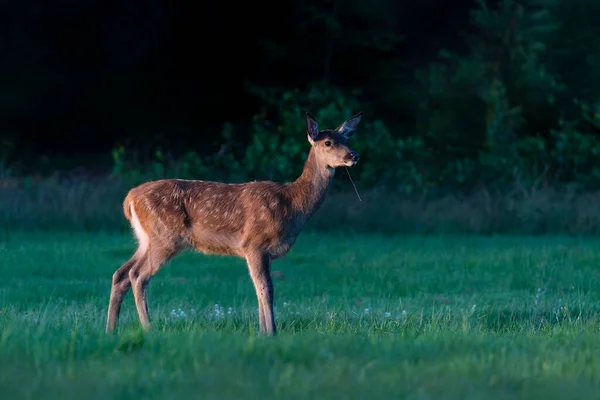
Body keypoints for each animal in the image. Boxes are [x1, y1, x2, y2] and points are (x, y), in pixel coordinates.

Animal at [105, 111, 364, 336]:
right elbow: (267, 289)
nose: (354, 155)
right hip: (165, 237)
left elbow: (260, 290)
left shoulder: (263, 252)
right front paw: (271, 333)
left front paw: (263, 331)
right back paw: (148, 328)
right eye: (328, 142)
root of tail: (129, 199)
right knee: (138, 275)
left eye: (346, 138)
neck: (293, 205)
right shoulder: (254, 243)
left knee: (120, 273)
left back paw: (111, 330)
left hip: (146, 239)